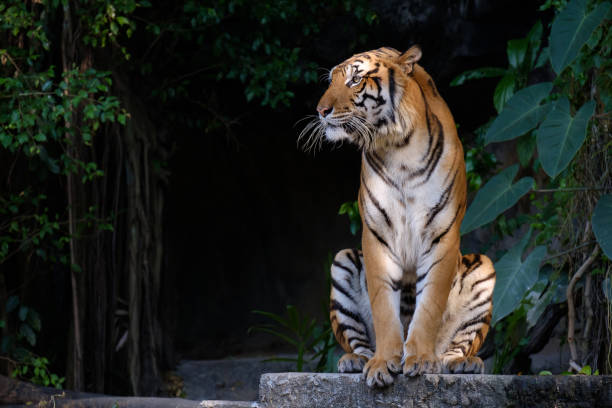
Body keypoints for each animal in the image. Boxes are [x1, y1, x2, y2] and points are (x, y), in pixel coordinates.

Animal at [302, 46, 498, 388]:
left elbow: (429, 304)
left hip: (483, 268)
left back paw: (460, 363)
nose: (321, 110)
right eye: (331, 80)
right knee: (357, 341)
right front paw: (382, 363)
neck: (398, 148)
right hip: (343, 261)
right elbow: (384, 306)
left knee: (457, 346)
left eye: (355, 79)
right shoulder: (376, 236)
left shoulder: (441, 235)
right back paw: (355, 361)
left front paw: (419, 359)